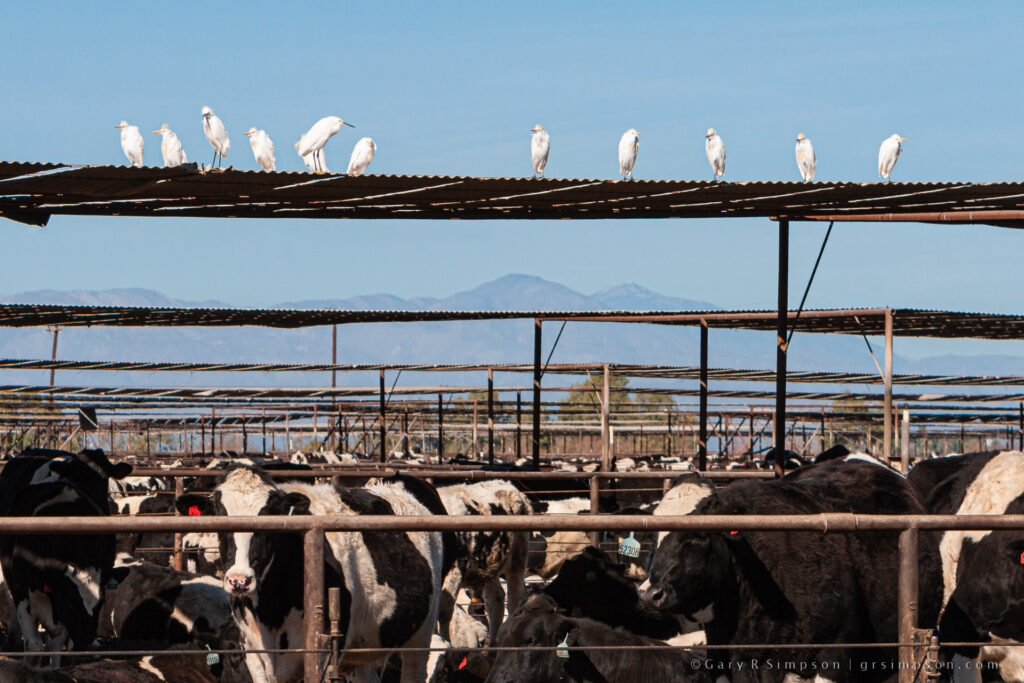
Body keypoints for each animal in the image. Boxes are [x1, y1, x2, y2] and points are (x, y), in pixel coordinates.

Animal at [0, 448, 131, 666]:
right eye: (71, 604)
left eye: (101, 603)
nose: (85, 639)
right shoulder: (23, 593)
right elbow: (35, 649)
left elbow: (55, 649)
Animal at [176, 466, 444, 683]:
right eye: (221, 520)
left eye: (267, 521)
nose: (239, 581)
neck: (271, 614)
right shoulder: (253, 653)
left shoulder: (321, 653)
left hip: (422, 633)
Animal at [437, 480, 532, 643]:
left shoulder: (456, 569)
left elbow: (444, 610)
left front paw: (443, 642)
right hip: (490, 565)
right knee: (495, 599)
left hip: (518, 556)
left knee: (514, 599)